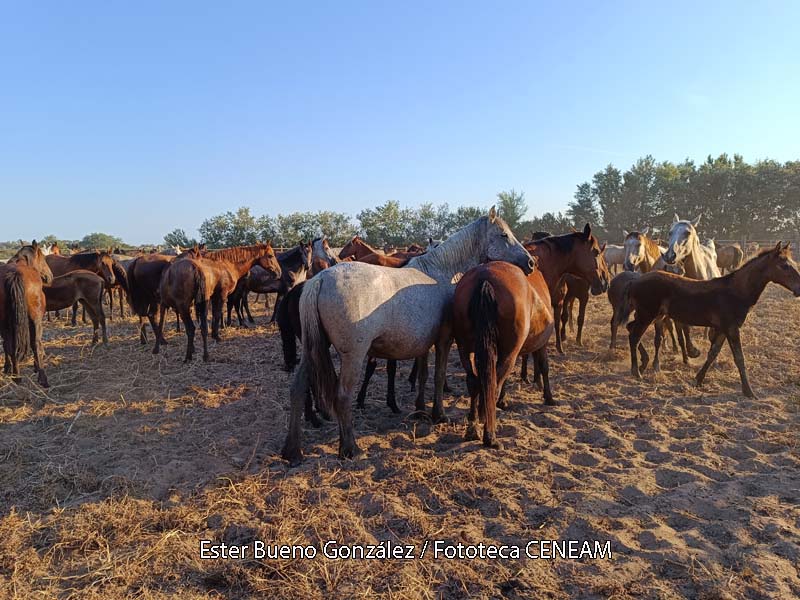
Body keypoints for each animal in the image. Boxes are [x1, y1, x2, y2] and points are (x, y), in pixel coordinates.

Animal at [0, 243, 53, 386]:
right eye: (43, 259)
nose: (50, 276)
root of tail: (15, 274)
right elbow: (36, 344)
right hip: (34, 320)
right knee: (35, 343)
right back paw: (42, 378)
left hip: (6, 323)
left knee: (10, 346)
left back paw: (16, 376)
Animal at [282, 209, 536, 466]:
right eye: (503, 234)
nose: (531, 263)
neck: (439, 272)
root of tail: (319, 280)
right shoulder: (444, 340)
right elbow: (438, 375)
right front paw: (439, 414)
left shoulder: (424, 343)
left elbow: (422, 375)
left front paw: (421, 410)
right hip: (353, 356)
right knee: (342, 397)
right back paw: (350, 448)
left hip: (313, 351)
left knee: (297, 389)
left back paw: (293, 451)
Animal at [624, 244, 800, 398]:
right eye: (784, 266)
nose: (798, 289)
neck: (736, 291)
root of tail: (635, 281)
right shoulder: (732, 328)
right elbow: (739, 358)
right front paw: (749, 392)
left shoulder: (723, 329)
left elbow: (713, 353)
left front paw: (697, 380)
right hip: (647, 315)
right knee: (634, 336)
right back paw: (636, 372)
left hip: (651, 315)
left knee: (630, 328)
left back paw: (643, 363)